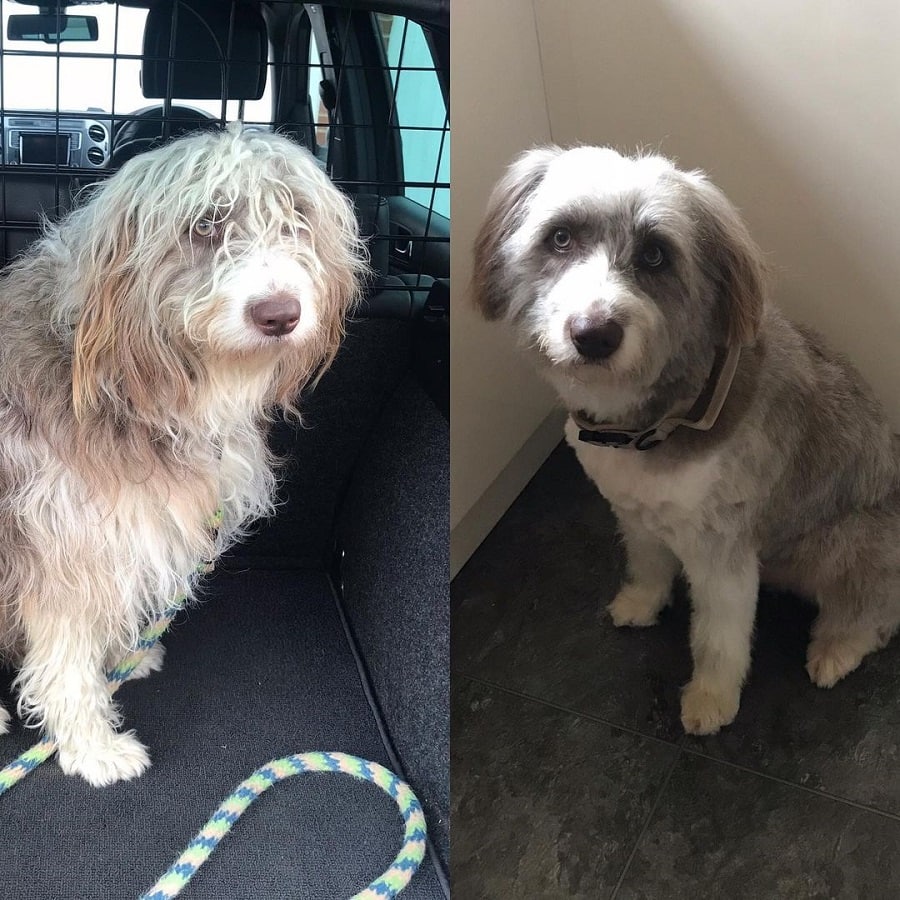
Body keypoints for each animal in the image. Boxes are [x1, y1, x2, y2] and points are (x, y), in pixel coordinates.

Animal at [0, 125, 366, 780]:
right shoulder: (62, 544)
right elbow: (66, 660)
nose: (280, 314)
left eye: (296, 220)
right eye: (204, 227)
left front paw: (123, 656)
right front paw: (92, 746)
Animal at [472, 148, 900, 736]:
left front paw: (711, 700)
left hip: (848, 542)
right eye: (560, 238)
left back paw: (836, 651)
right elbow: (648, 564)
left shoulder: (723, 553)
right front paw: (641, 604)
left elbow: (719, 637)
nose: (593, 334)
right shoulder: (633, 512)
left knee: (873, 613)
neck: (657, 422)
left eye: (655, 255)